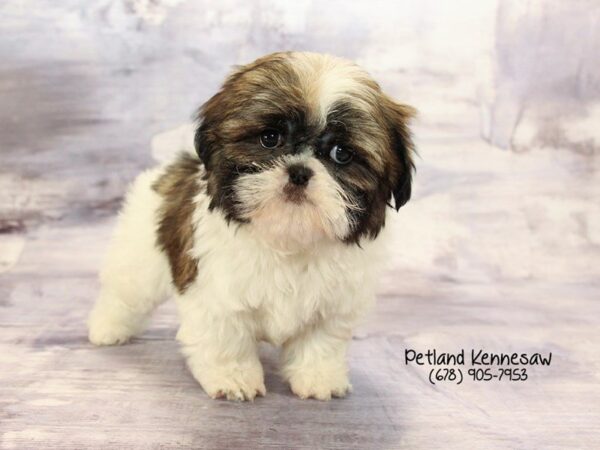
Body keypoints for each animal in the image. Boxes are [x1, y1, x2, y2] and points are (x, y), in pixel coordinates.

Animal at [89, 51, 414, 400]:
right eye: (269, 138)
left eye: (342, 153)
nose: (299, 171)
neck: (288, 238)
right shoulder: (215, 295)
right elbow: (226, 340)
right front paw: (234, 377)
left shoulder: (333, 306)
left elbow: (320, 342)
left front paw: (318, 377)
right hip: (140, 258)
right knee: (125, 294)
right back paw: (107, 328)